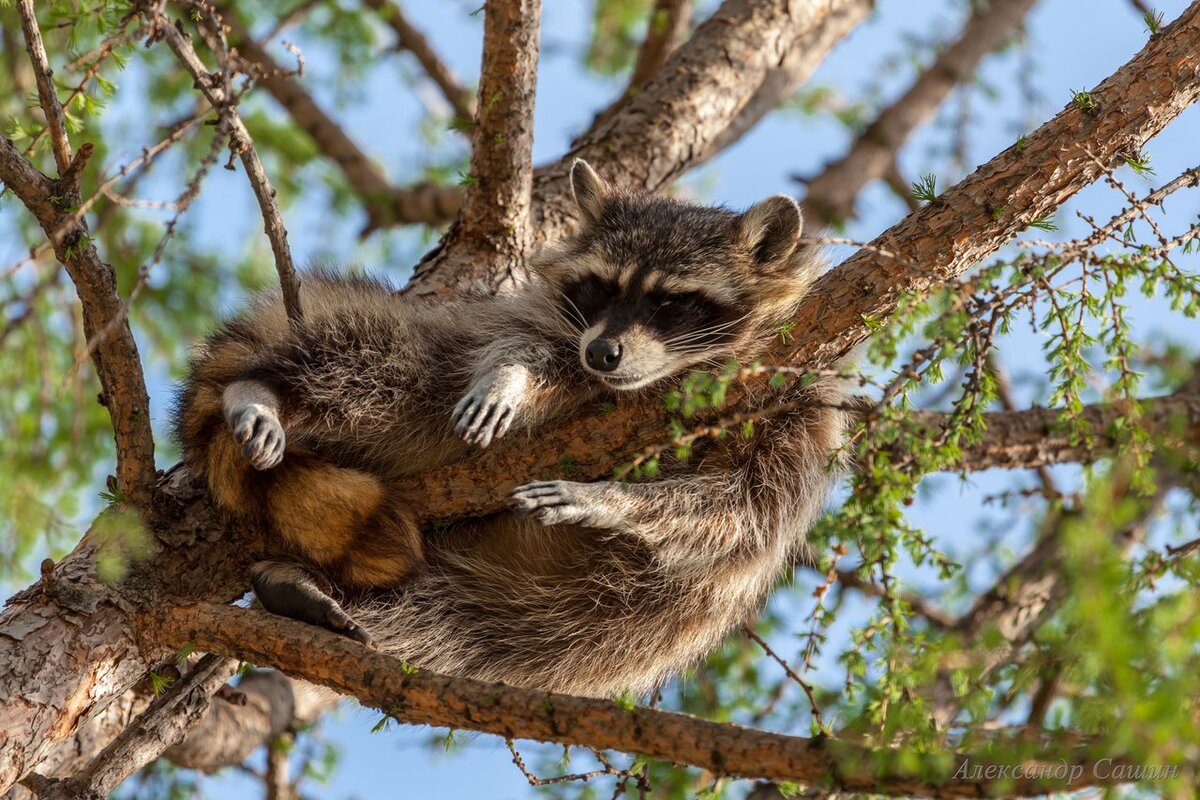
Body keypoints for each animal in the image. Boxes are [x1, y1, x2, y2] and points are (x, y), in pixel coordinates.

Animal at [175, 160, 854, 695]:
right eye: (600, 287)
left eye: (670, 301)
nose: (603, 354)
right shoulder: (557, 332)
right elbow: (525, 344)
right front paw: (510, 376)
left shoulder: (799, 423)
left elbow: (733, 512)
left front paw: (608, 500)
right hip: (423, 390)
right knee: (387, 361)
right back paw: (262, 389)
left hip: (531, 612)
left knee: (447, 623)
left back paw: (314, 593)